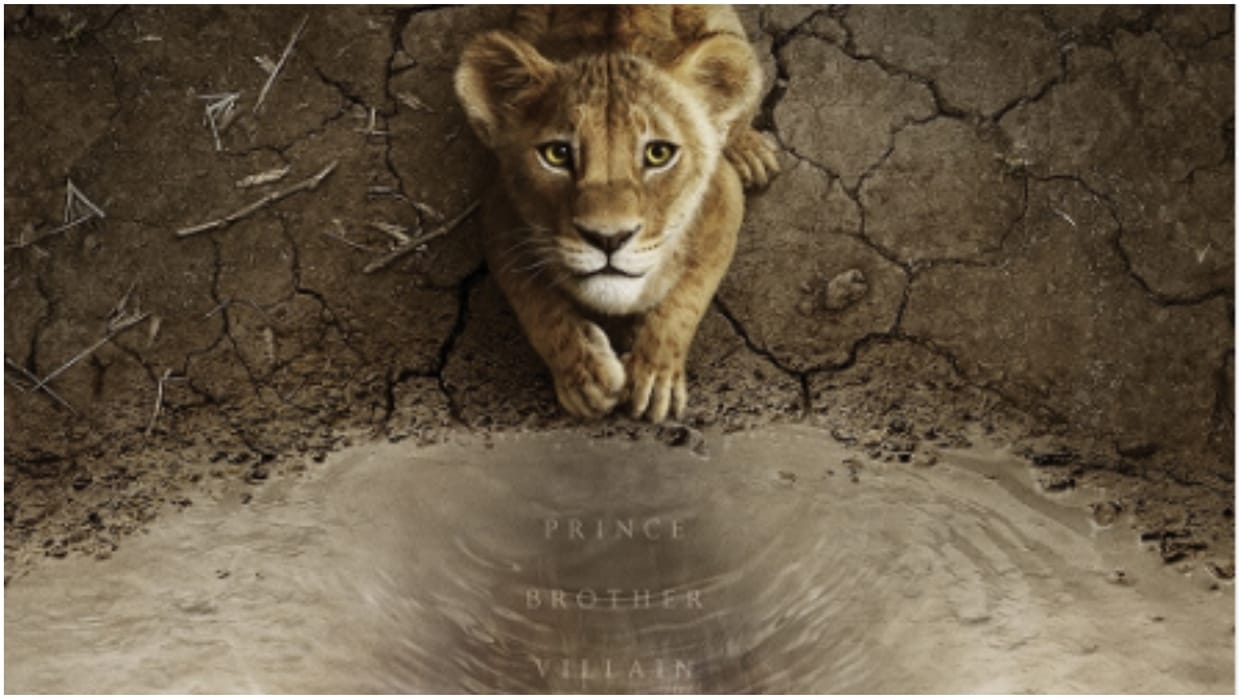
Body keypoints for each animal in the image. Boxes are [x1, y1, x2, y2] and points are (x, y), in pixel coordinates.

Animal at [454, 5, 777, 422]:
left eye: (658, 153)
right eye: (557, 154)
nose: (608, 239)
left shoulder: (723, 199)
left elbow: (687, 296)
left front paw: (654, 377)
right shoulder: (497, 214)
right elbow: (536, 304)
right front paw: (585, 377)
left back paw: (750, 151)